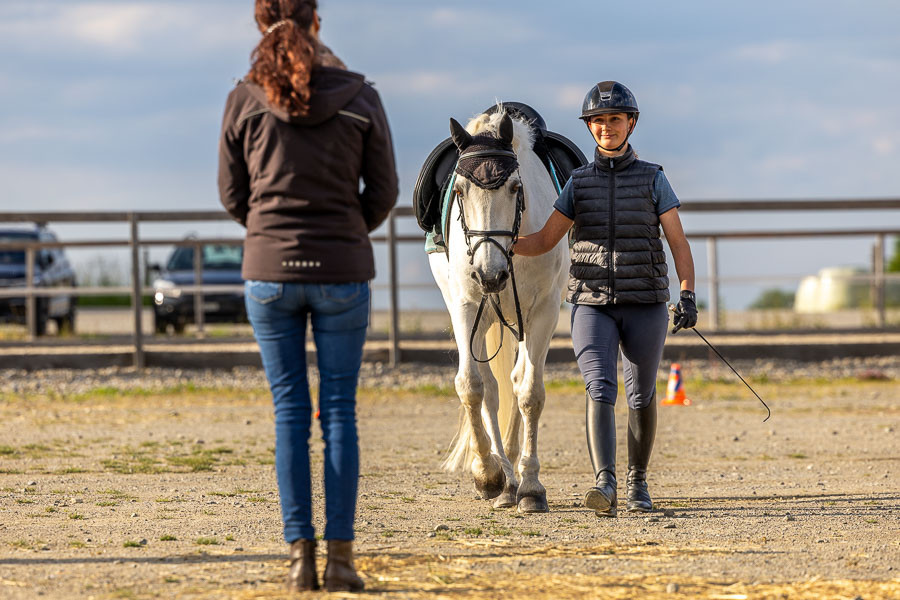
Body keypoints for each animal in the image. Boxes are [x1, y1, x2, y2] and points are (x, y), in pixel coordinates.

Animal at [428, 108, 568, 513]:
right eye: (459, 190)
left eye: (515, 188)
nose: (490, 274)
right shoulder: (466, 307)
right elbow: (472, 386)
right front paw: (487, 475)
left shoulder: (543, 313)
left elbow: (529, 392)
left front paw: (531, 487)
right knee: (492, 387)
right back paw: (503, 478)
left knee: (517, 381)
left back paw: (515, 477)